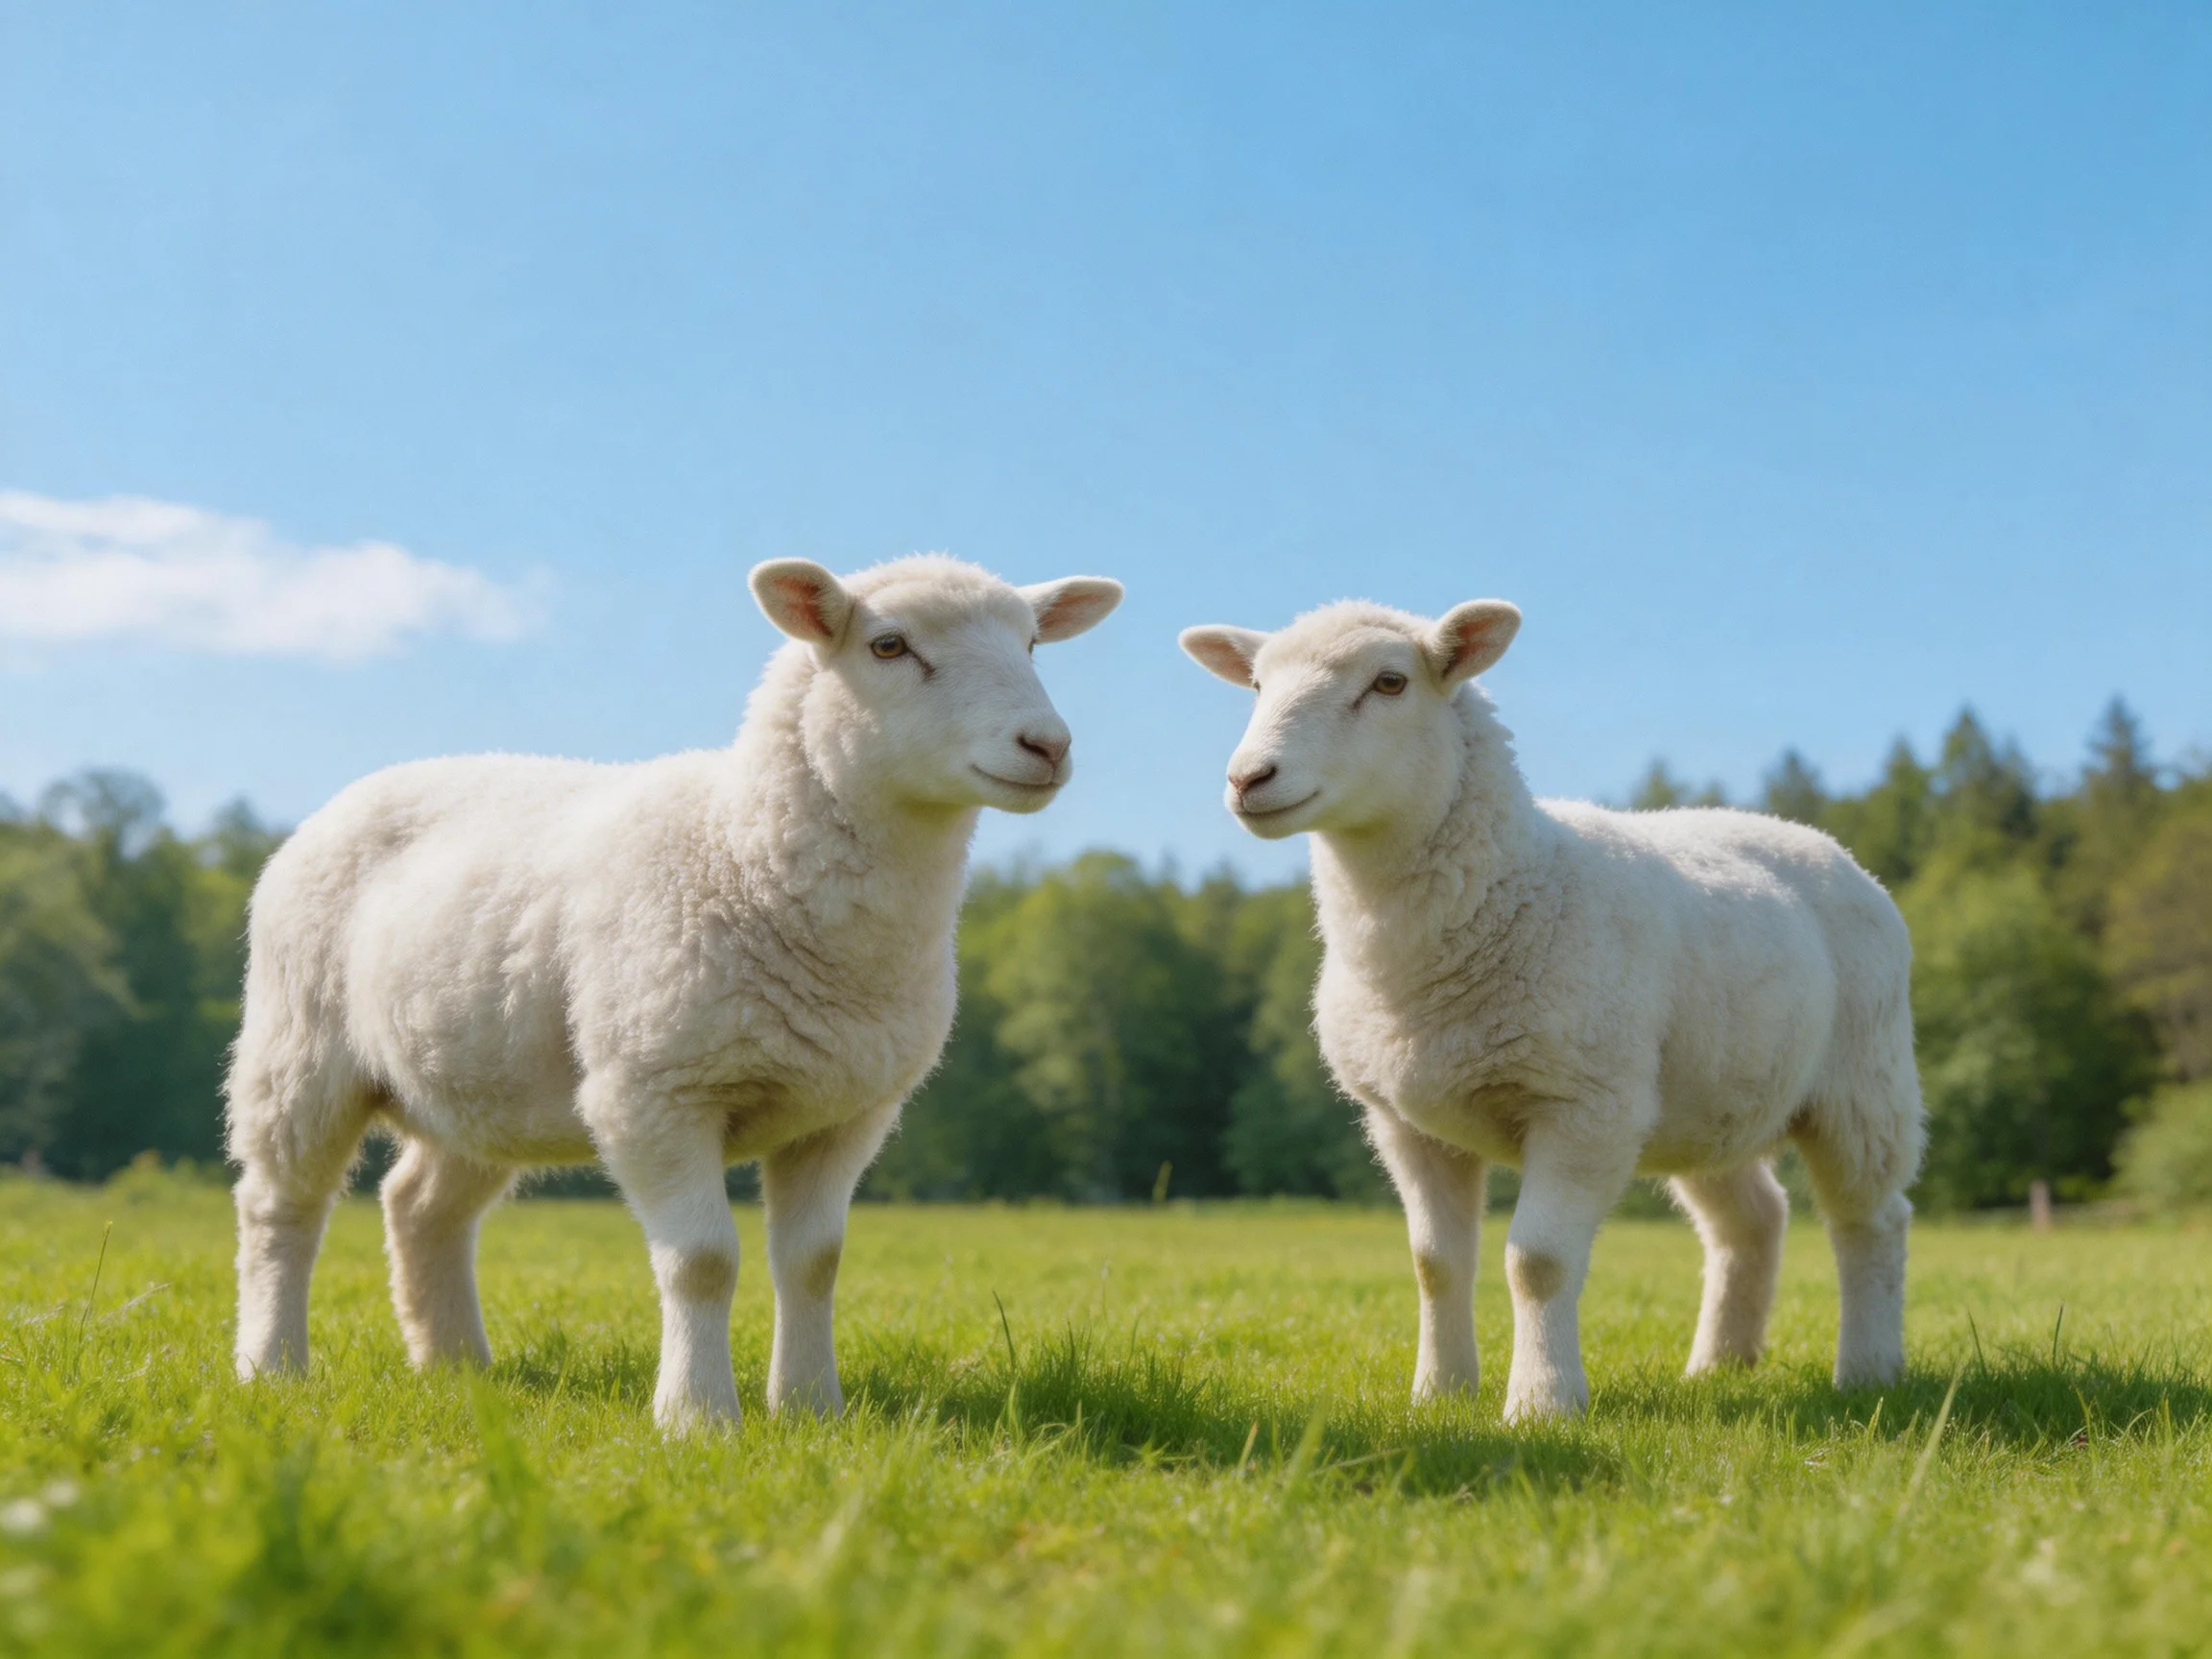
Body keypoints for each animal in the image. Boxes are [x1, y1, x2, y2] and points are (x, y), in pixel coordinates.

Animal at [227, 554, 1122, 1431]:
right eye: (890, 646)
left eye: (1032, 644)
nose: (1047, 745)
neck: (743, 845)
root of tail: (357, 792)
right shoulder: (653, 1090)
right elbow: (702, 1262)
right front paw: (697, 1417)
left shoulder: (846, 1112)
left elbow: (815, 1264)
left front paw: (811, 1410)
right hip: (298, 1050)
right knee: (279, 1209)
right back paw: (271, 1365)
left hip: (484, 1081)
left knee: (420, 1207)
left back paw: (457, 1367)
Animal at [1180, 598, 1923, 1422]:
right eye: (1255, 684)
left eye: (1390, 682)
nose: (1249, 778)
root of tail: (1808, 836)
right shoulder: (1407, 1123)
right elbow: (1435, 1264)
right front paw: (1440, 1393)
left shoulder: (1583, 1107)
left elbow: (1536, 1261)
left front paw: (1542, 1402)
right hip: (1704, 1100)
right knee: (1753, 1219)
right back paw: (1718, 1368)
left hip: (1863, 1081)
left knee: (1871, 1220)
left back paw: (1868, 1369)